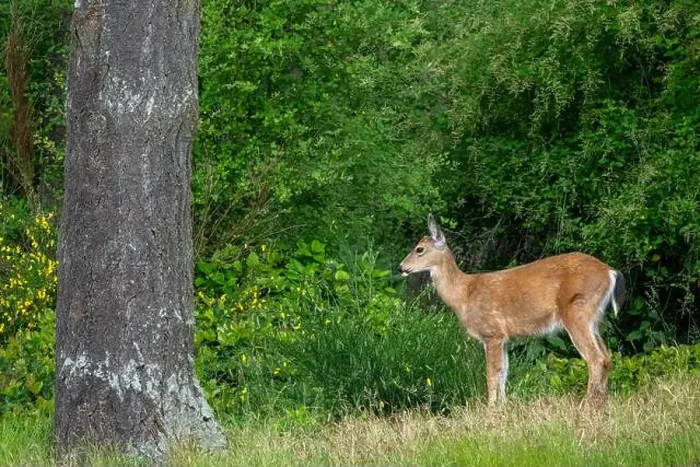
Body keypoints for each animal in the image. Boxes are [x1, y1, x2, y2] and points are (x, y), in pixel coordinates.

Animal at [399, 215, 625, 407]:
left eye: (419, 249)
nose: (401, 267)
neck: (464, 294)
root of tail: (610, 271)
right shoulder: (505, 338)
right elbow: (504, 373)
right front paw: (503, 407)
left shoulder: (492, 333)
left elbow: (492, 374)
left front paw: (490, 410)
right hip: (594, 319)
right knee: (607, 357)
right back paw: (601, 405)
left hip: (577, 312)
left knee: (596, 358)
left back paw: (586, 407)